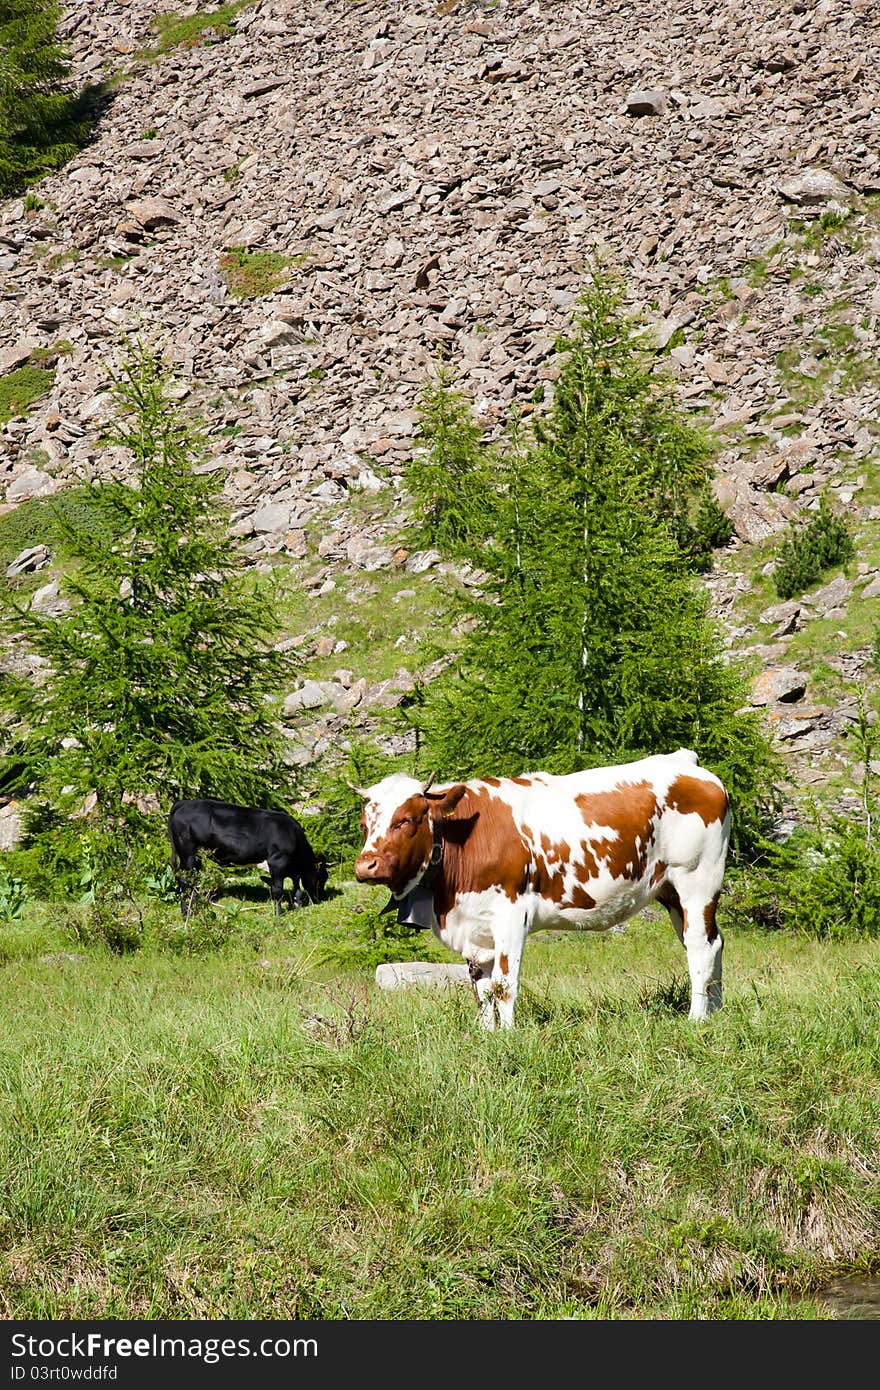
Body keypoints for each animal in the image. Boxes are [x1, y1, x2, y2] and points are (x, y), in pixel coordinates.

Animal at [166, 800, 328, 917]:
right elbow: (277, 889)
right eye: (322, 878)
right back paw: (187, 912)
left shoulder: (292, 869)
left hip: (196, 856)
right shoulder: (277, 861)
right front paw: (279, 914)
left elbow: (297, 886)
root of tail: (184, 803)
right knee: (184, 879)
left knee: (192, 879)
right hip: (187, 853)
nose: (322, 898)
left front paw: (297, 904)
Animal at [350, 750, 728, 1034]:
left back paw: (696, 1018)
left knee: (700, 947)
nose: (366, 865)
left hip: (697, 880)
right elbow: (482, 989)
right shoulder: (475, 927)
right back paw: (716, 1010)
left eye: (406, 820)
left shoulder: (511, 915)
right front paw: (486, 1035)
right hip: (670, 891)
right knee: (713, 942)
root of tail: (685, 762)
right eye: (365, 824)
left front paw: (507, 1036)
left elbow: (504, 985)